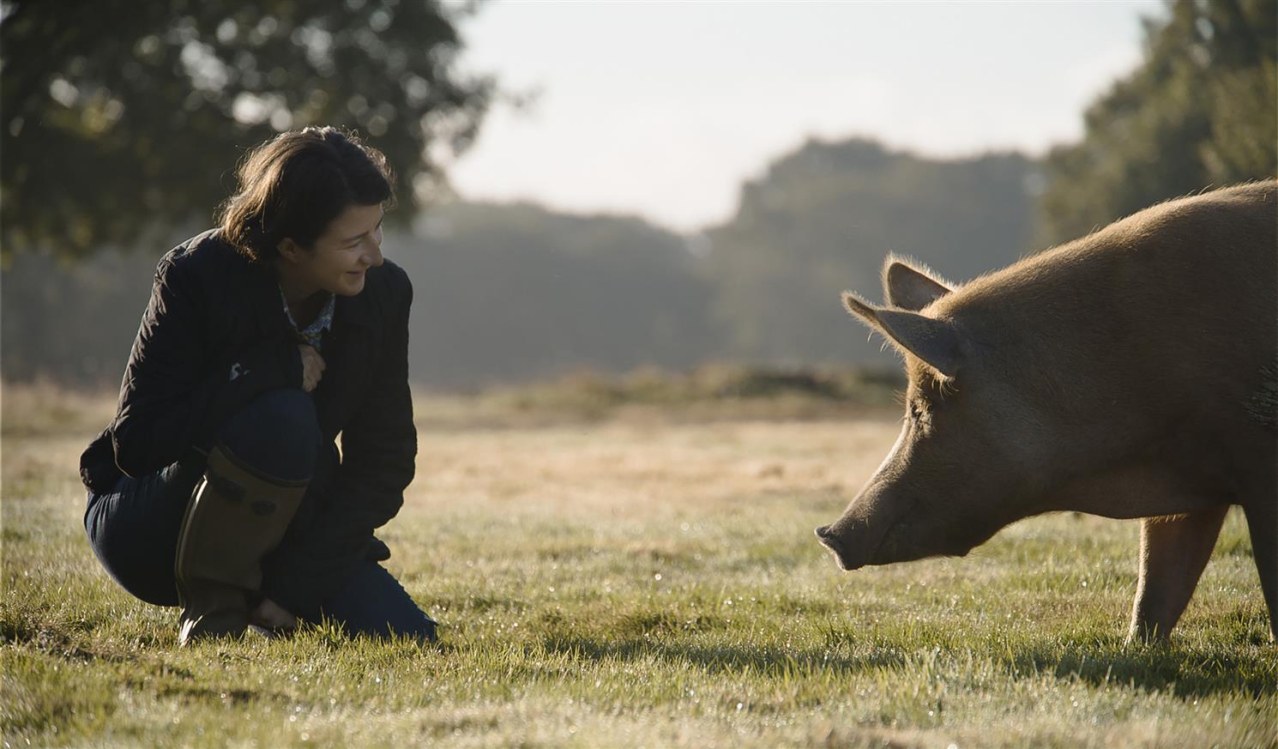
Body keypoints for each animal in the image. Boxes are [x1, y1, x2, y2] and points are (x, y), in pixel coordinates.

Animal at [812, 180, 1272, 641]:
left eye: (921, 409)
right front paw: (1134, 646)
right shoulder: (1189, 491)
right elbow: (1157, 587)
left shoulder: (1256, 465)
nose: (829, 535)